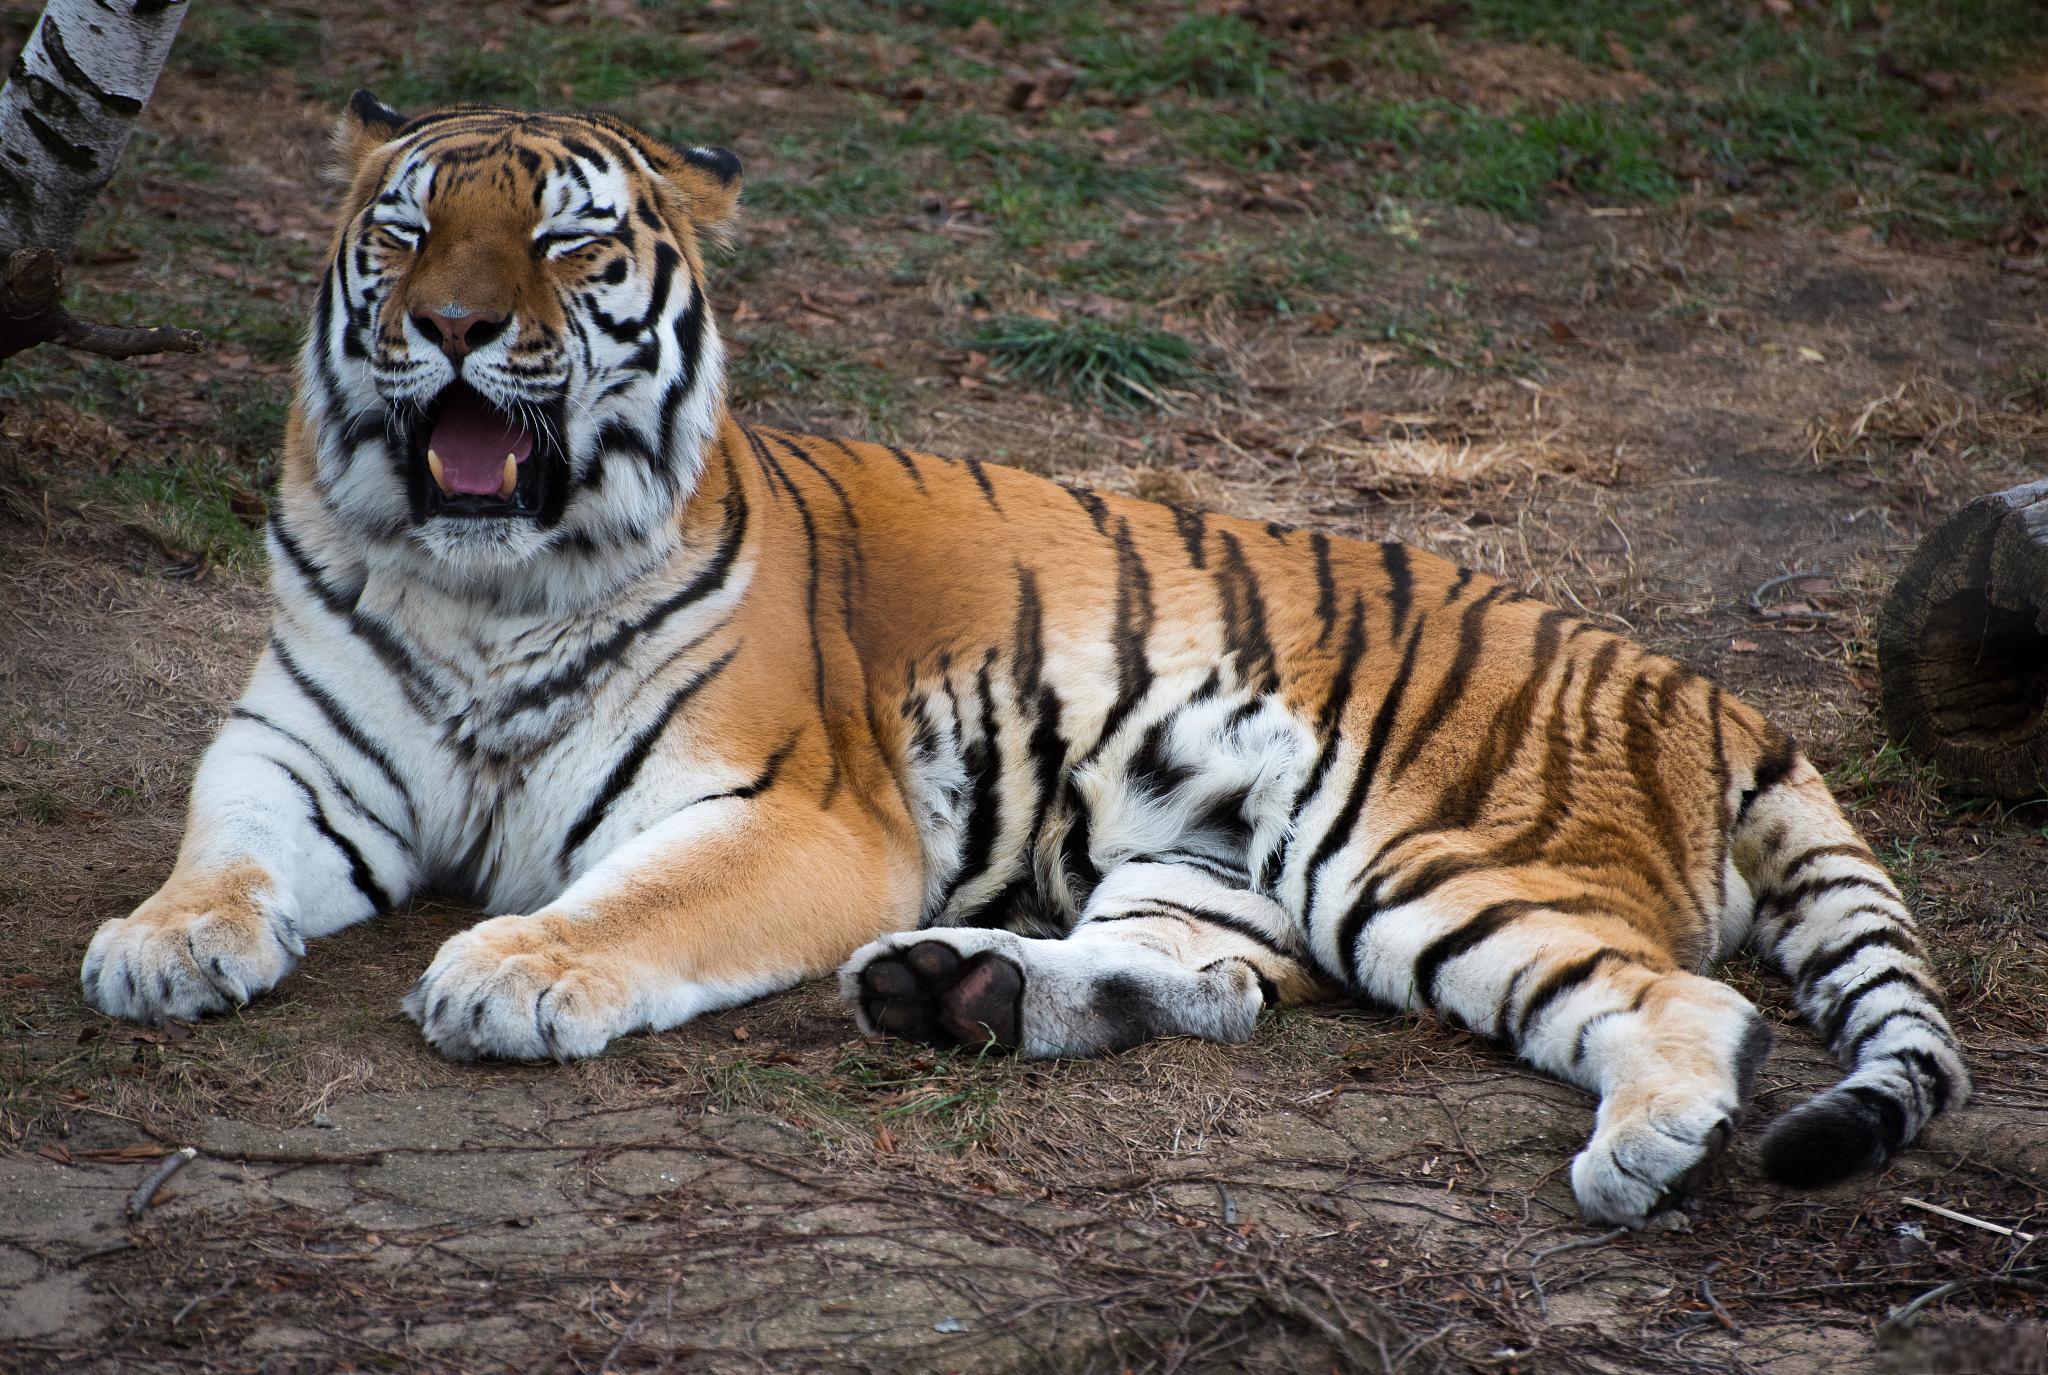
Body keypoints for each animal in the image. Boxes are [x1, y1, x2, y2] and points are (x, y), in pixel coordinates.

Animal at [79, 94, 1966, 1229]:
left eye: (562, 242)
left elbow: (630, 904)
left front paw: (512, 972)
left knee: (1692, 1004)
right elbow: (219, 853)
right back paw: (957, 991)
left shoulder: (794, 812)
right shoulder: (295, 753)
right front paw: (158, 951)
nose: (457, 329)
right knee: (1217, 986)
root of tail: (1697, 684)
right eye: (405, 235)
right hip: (1213, 864)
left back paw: (1646, 1147)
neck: (482, 581)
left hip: (1420, 857)